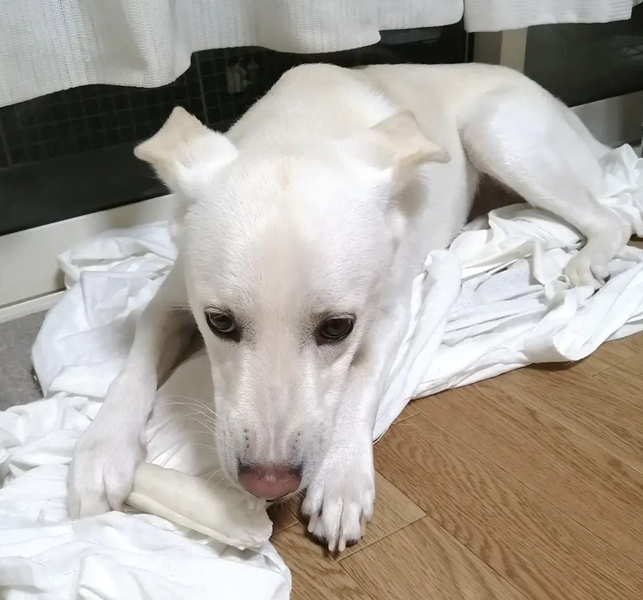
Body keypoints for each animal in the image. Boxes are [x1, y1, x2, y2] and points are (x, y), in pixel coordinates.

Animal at [68, 63, 630, 552]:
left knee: (615, 216)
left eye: (338, 328)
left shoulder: (389, 313)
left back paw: (591, 259)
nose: (268, 483)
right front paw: (102, 450)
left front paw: (340, 478)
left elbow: (361, 382)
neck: (300, 125)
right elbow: (134, 368)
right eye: (220, 322)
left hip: (495, 132)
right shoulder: (169, 299)